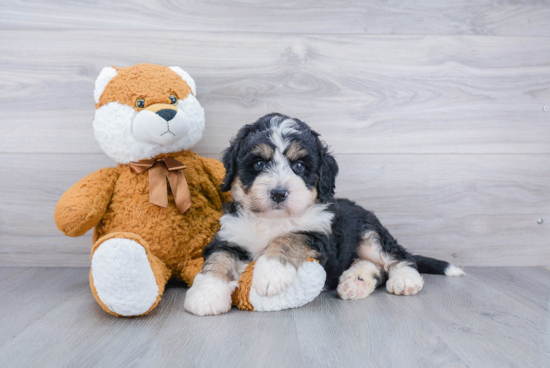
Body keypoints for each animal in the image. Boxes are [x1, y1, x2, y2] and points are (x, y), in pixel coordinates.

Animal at [185, 113, 466, 316]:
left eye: (299, 166)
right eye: (259, 163)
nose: (278, 193)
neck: (272, 220)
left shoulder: (318, 234)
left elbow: (288, 239)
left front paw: (271, 273)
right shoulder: (229, 236)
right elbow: (219, 260)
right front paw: (206, 296)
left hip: (370, 233)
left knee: (398, 256)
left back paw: (405, 280)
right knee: (373, 267)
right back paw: (356, 282)